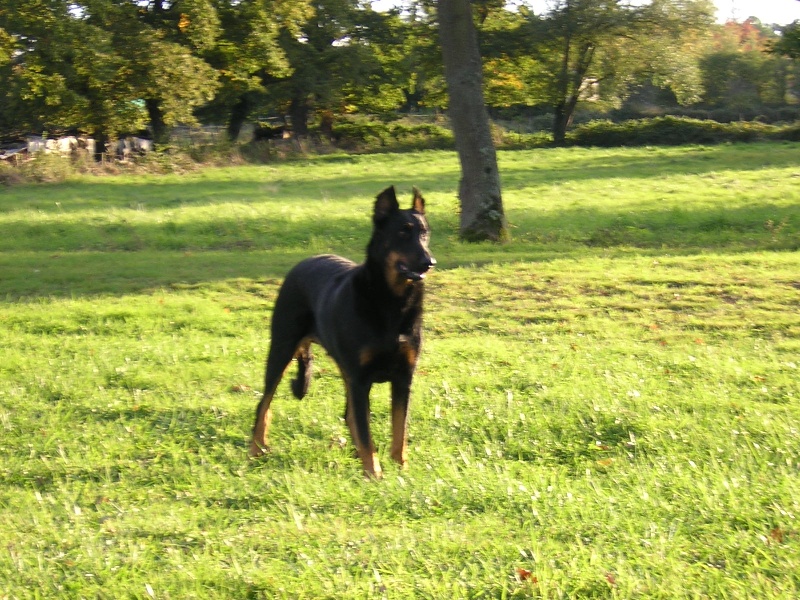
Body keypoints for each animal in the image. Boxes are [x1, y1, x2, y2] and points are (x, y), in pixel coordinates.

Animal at [250, 188, 438, 478]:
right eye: (403, 232)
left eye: (424, 232)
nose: (429, 262)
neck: (391, 301)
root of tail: (302, 263)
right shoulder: (361, 379)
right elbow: (365, 430)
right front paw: (374, 474)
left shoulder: (403, 377)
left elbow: (399, 429)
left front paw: (399, 467)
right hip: (282, 347)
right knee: (264, 403)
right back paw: (256, 448)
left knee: (349, 415)